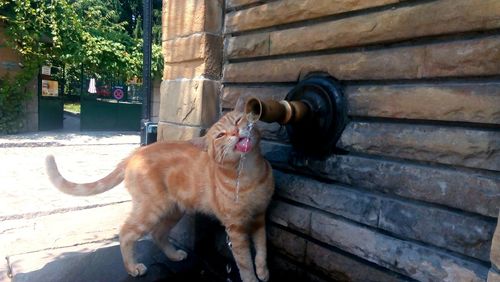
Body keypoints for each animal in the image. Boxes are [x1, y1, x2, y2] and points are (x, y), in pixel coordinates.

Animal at [45, 110, 276, 282]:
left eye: (237, 121)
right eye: (220, 136)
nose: (236, 131)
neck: (249, 173)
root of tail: (134, 154)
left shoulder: (259, 217)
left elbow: (262, 249)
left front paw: (263, 272)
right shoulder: (235, 227)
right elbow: (244, 260)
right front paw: (252, 279)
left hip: (173, 209)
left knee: (157, 233)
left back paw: (173, 255)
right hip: (151, 210)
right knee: (126, 233)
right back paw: (132, 268)